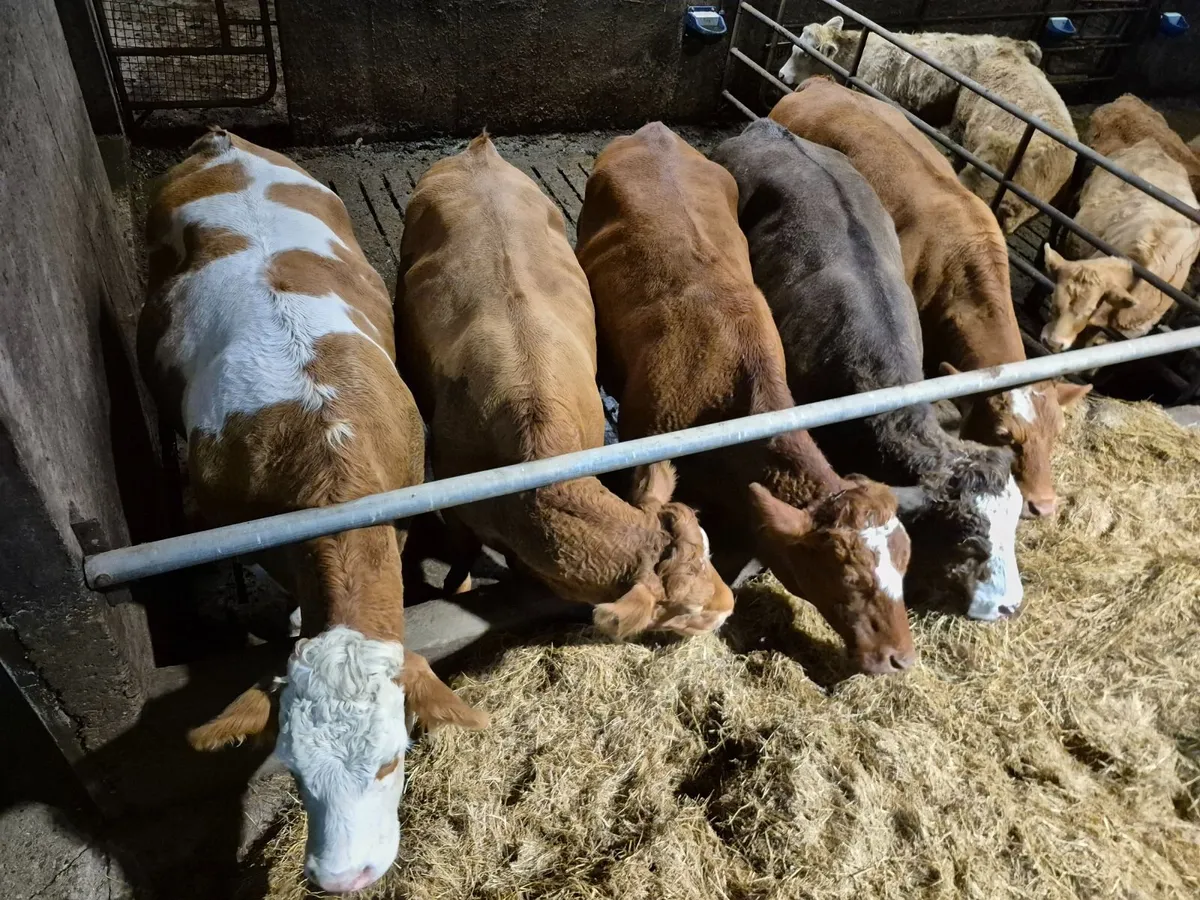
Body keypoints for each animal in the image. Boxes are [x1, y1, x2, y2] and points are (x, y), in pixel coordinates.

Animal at [395, 133, 734, 640]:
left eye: (711, 548)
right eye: (686, 609)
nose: (729, 605)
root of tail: (479, 151)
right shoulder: (456, 504)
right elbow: (462, 557)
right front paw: (460, 587)